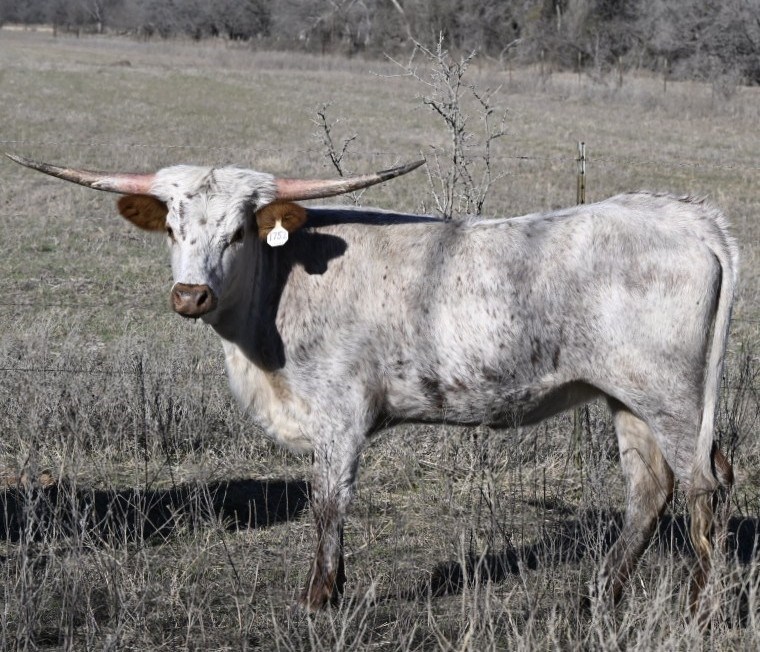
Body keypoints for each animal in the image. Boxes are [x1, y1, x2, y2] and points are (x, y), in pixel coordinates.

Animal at [7, 152, 737, 615]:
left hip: (671, 396)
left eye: (239, 230)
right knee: (650, 490)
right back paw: (598, 596)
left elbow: (329, 503)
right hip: (626, 397)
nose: (190, 295)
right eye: (172, 226)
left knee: (703, 488)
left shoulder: (339, 412)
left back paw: (699, 608)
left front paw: (318, 599)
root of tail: (686, 216)